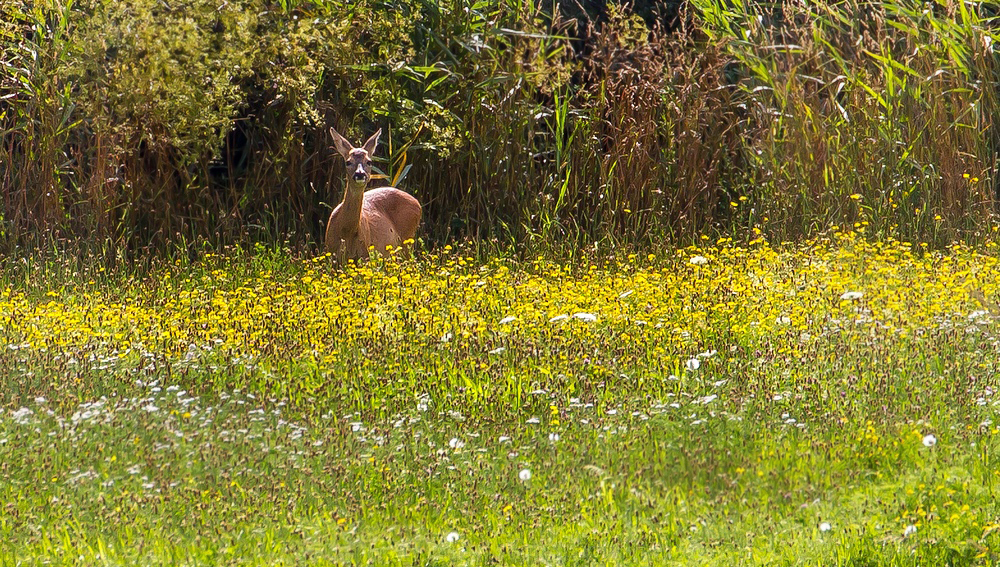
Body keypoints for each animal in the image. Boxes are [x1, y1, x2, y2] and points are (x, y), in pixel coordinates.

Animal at [324, 127, 422, 262]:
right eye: (348, 162)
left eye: (369, 162)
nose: (360, 174)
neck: (346, 231)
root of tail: (417, 203)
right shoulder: (330, 253)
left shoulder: (365, 253)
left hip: (407, 240)